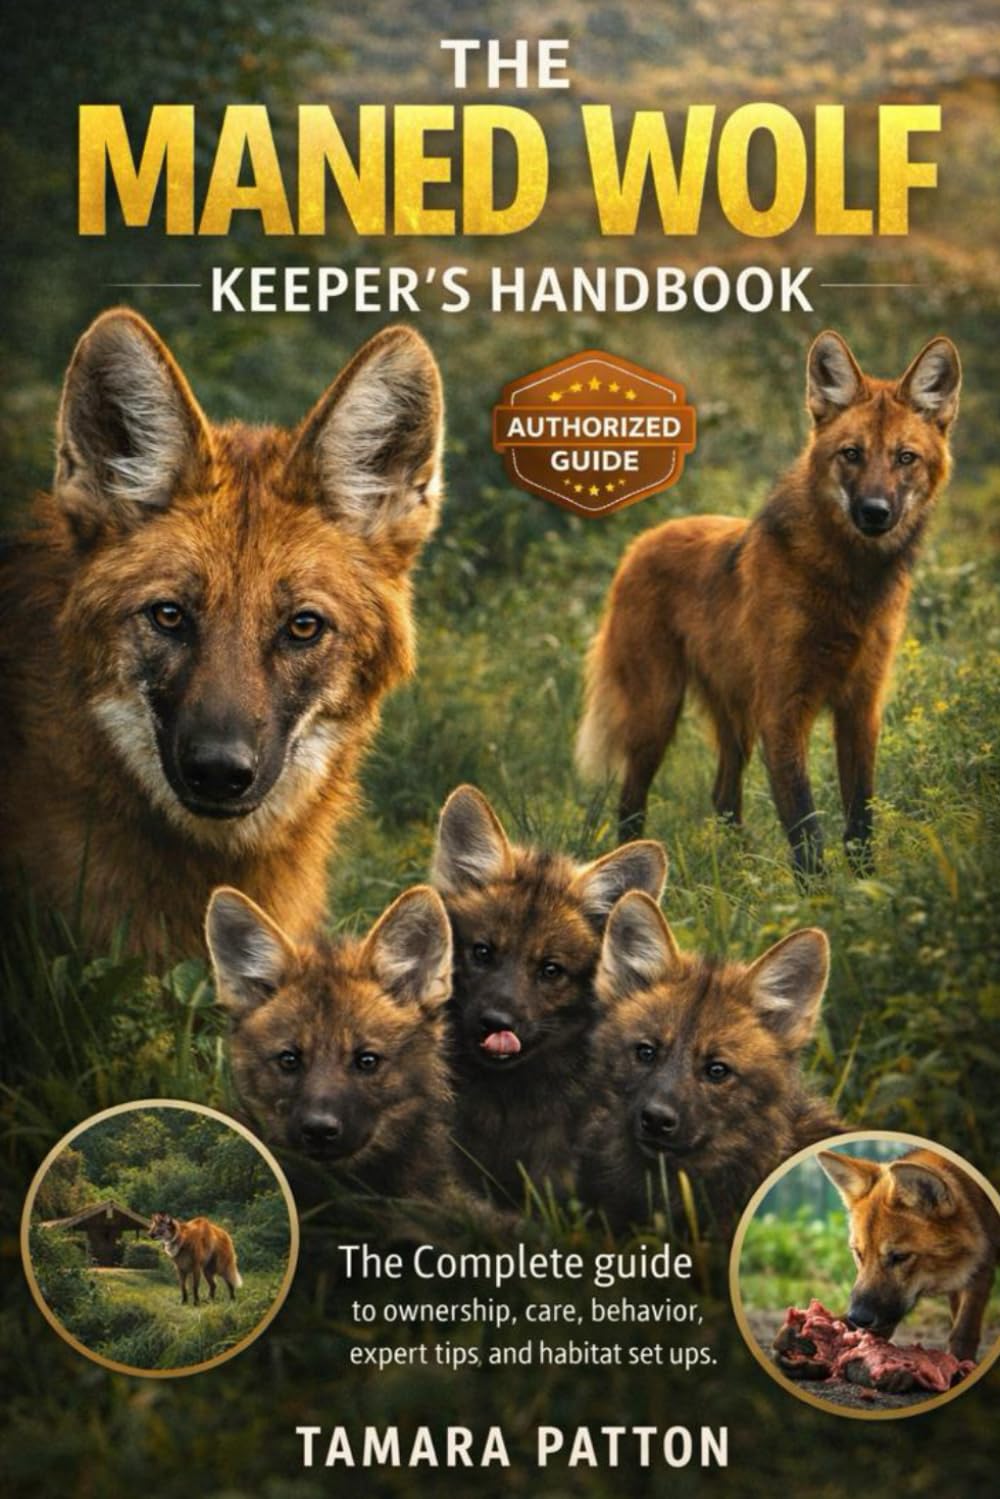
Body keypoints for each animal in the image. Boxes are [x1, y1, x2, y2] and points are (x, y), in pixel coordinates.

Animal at [576, 331, 961, 875]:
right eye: (851, 453)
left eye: (905, 458)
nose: (874, 512)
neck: (846, 584)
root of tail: (641, 540)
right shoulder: (783, 710)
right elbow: (807, 831)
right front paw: (820, 898)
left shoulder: (859, 708)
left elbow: (860, 823)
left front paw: (868, 888)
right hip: (657, 712)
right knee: (631, 802)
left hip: (735, 718)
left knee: (723, 796)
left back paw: (738, 876)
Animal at [819, 1147, 1000, 1362]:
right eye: (859, 1254)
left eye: (900, 1257)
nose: (857, 1318)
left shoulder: (981, 1267)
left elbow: (964, 1329)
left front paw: (961, 1362)